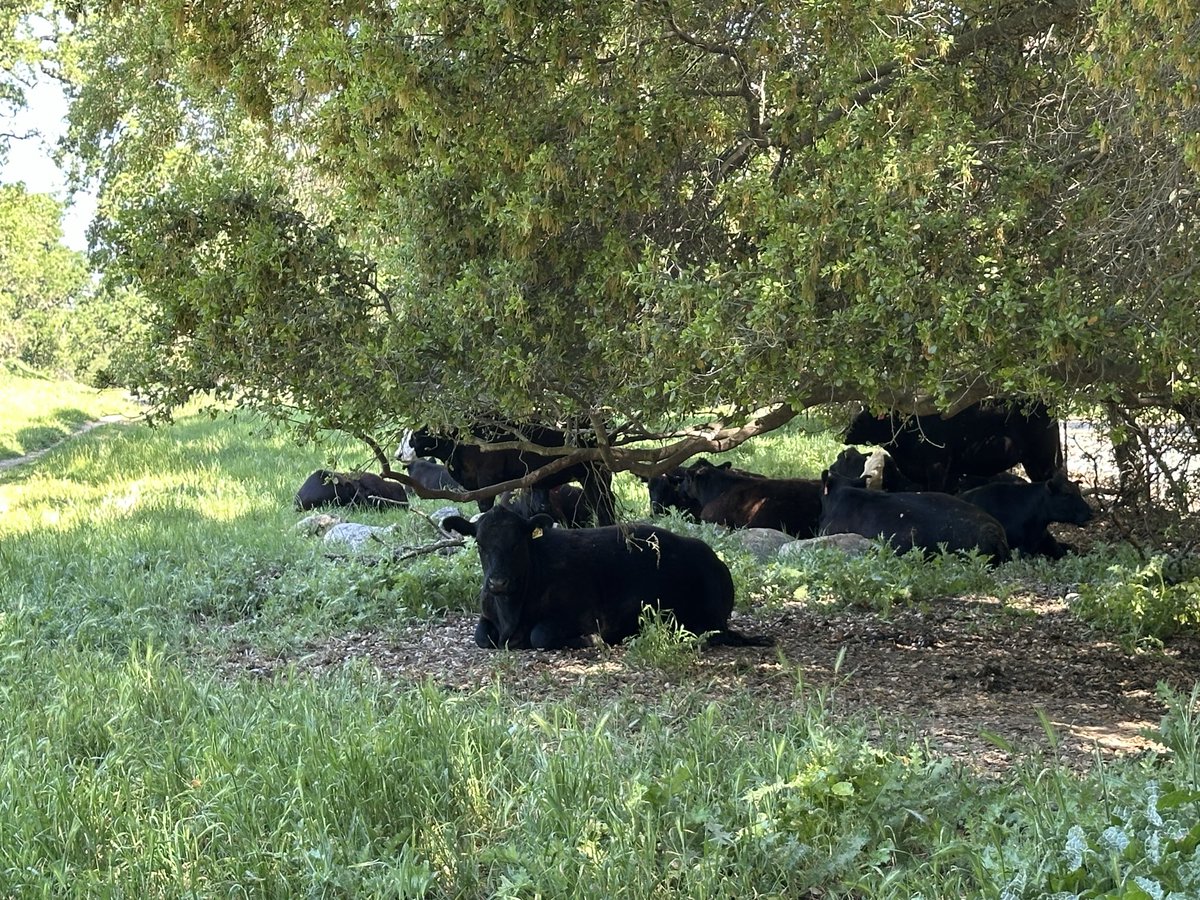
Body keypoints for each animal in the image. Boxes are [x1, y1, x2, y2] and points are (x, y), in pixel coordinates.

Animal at [398, 423, 616, 525]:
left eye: (415, 435)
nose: (398, 454)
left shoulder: (487, 479)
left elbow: (485, 509)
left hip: (595, 470)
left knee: (603, 501)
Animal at [440, 505, 772, 650]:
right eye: (480, 544)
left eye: (517, 543)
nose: (497, 583)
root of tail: (713, 557)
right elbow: (481, 637)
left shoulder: (585, 615)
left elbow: (540, 636)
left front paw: (589, 640)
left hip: (708, 621)